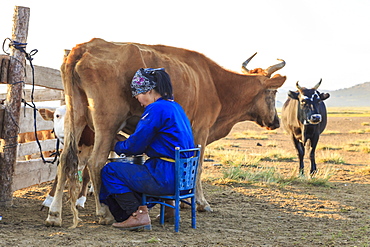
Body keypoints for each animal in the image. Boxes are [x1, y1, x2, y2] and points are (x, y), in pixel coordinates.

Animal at [44, 37, 286, 227]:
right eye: (273, 92)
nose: (276, 121)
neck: (214, 83)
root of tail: (85, 47)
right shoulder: (200, 131)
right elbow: (198, 168)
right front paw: (201, 203)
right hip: (107, 120)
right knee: (96, 163)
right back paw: (104, 213)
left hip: (75, 116)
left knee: (65, 160)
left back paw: (54, 214)